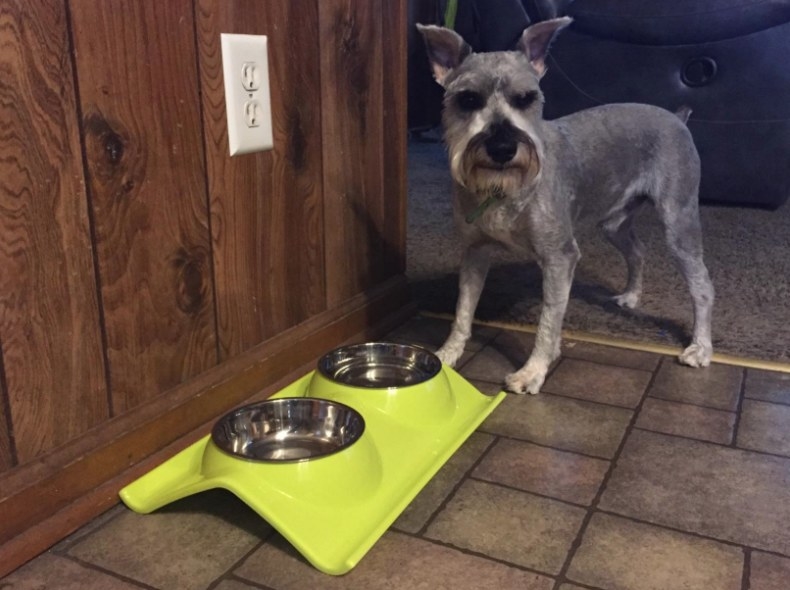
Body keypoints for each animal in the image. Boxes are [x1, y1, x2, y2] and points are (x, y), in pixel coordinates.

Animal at [420, 16, 716, 396]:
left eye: (526, 98)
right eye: (468, 99)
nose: (502, 148)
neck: (501, 190)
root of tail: (677, 118)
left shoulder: (559, 257)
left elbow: (548, 320)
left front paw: (532, 372)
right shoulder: (475, 252)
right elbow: (463, 310)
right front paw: (447, 354)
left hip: (678, 222)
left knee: (702, 286)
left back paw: (700, 348)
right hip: (614, 223)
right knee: (637, 250)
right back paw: (630, 296)